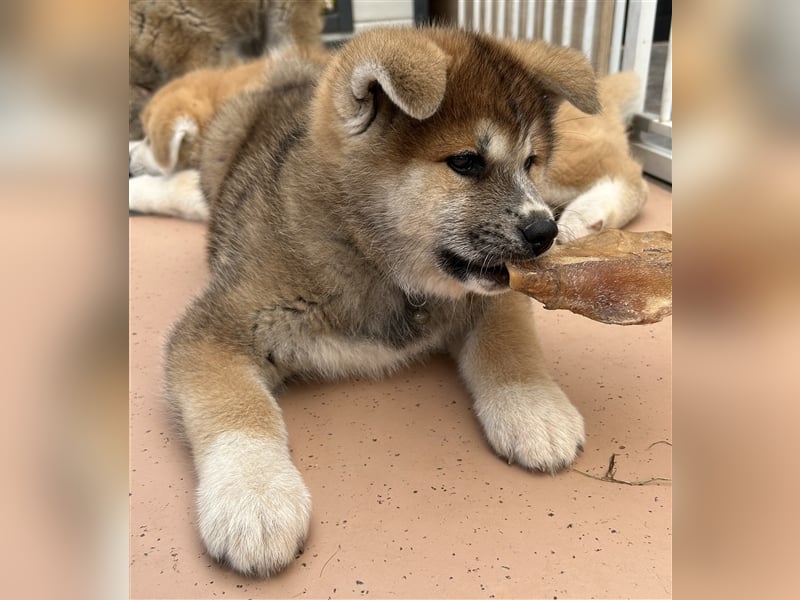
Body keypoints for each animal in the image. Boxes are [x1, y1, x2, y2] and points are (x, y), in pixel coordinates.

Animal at [134, 27, 648, 576]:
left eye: (530, 162)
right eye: (465, 162)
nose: (543, 232)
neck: (378, 265)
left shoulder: (499, 293)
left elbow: (508, 344)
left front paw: (533, 407)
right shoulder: (218, 327)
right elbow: (237, 406)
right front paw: (252, 498)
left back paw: (586, 217)